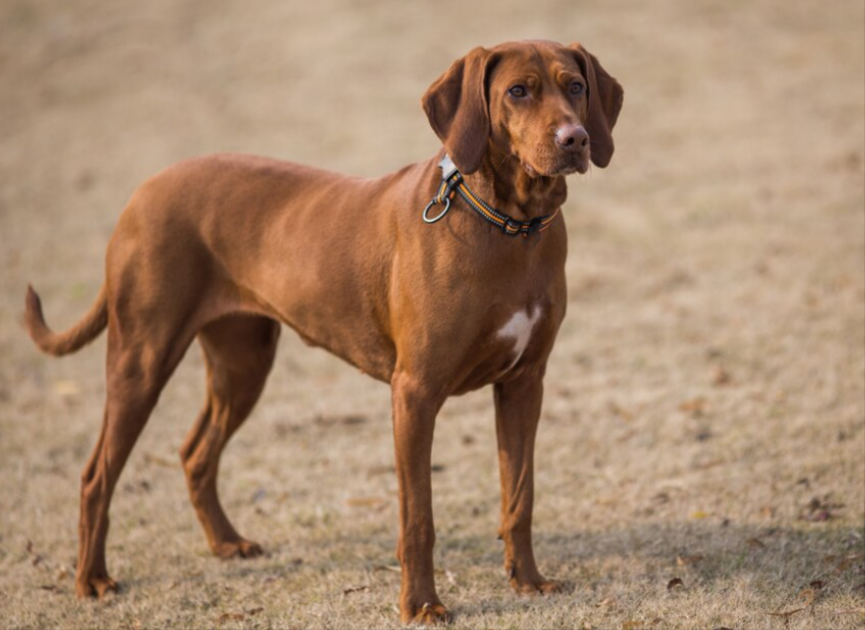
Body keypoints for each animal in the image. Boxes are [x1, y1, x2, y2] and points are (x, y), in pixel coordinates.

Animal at [25, 39, 620, 628]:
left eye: (575, 86)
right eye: (518, 91)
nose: (576, 139)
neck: (508, 224)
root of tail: (142, 191)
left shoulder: (524, 384)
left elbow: (520, 496)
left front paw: (528, 581)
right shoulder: (415, 393)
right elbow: (418, 518)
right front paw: (421, 605)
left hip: (243, 364)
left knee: (195, 452)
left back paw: (227, 543)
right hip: (142, 359)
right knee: (96, 475)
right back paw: (92, 580)